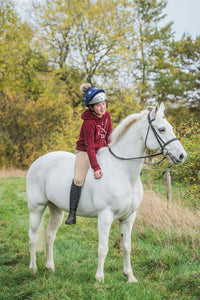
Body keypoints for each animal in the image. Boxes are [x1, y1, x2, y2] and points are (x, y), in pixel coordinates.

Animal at [26, 102, 186, 282]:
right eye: (161, 129)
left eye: (170, 127)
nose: (182, 155)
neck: (122, 172)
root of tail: (37, 161)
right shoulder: (105, 216)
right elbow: (103, 248)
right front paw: (100, 278)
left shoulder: (128, 217)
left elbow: (126, 246)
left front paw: (130, 276)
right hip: (36, 208)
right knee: (33, 236)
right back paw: (33, 269)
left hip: (56, 209)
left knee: (49, 235)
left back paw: (50, 267)